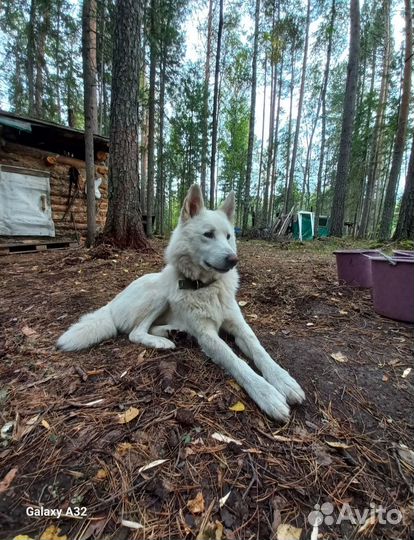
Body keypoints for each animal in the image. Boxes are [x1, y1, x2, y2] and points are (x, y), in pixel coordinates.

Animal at [57, 186, 304, 422]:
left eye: (228, 236)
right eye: (208, 234)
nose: (233, 260)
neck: (205, 287)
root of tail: (111, 304)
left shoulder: (239, 326)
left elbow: (260, 351)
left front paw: (284, 380)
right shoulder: (207, 336)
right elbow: (237, 362)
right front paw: (267, 393)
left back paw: (175, 333)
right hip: (159, 294)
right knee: (136, 332)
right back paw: (162, 342)